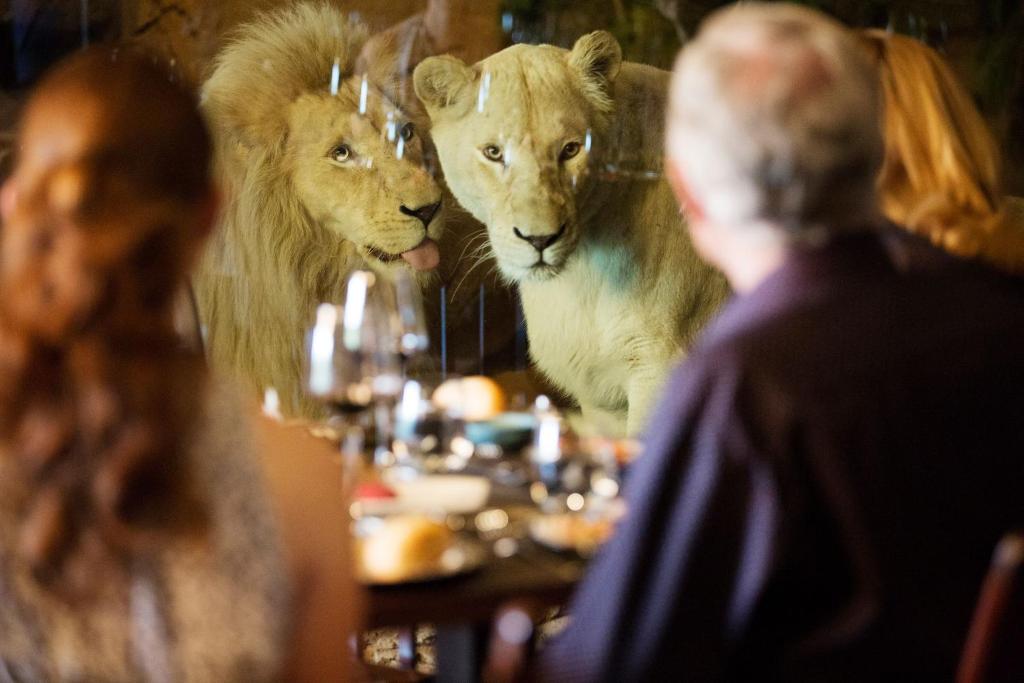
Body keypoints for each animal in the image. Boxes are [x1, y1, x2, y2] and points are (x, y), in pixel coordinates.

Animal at [413, 30, 729, 432]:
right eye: (493, 153)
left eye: (570, 150)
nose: (540, 239)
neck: (579, 281)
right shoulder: (602, 400)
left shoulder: (660, 368)